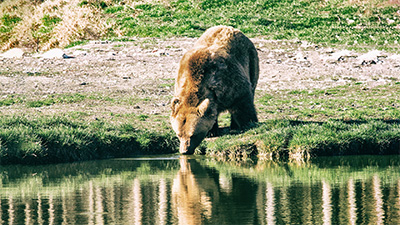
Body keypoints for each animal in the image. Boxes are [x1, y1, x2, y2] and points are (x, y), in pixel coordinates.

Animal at [170, 25, 258, 155]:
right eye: (179, 134)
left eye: (192, 135)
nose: (185, 151)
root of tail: (228, 27)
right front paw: (212, 131)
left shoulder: (228, 81)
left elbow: (243, 102)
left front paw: (248, 123)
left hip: (251, 60)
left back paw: (234, 126)